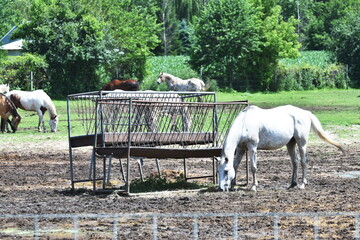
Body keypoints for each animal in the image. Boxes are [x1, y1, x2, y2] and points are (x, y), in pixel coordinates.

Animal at [215, 106, 344, 192]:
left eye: (225, 171)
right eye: (217, 171)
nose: (221, 189)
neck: (244, 123)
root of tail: (305, 113)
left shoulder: (252, 148)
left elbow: (253, 167)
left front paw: (253, 186)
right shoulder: (241, 149)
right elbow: (235, 165)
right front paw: (233, 186)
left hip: (301, 143)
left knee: (303, 162)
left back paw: (302, 184)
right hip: (290, 144)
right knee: (295, 162)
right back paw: (292, 184)